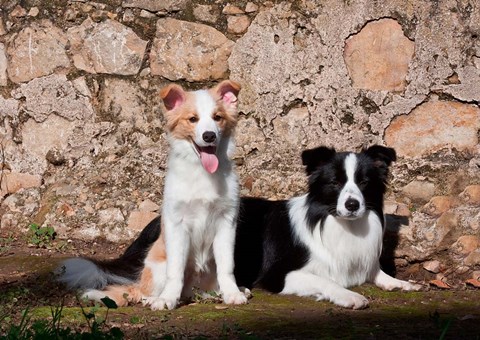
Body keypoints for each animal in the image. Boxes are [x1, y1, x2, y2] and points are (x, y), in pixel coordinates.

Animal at [57, 81, 248, 310]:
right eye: (193, 119)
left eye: (217, 117)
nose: (209, 135)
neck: (202, 174)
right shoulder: (177, 224)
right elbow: (176, 271)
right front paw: (167, 299)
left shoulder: (226, 222)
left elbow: (226, 266)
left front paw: (232, 293)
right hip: (157, 264)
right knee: (146, 292)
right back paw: (156, 297)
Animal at [57, 145, 420, 310]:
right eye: (335, 183)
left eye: (364, 183)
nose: (353, 204)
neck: (333, 222)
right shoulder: (280, 275)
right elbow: (326, 281)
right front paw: (350, 296)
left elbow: (379, 274)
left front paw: (403, 283)